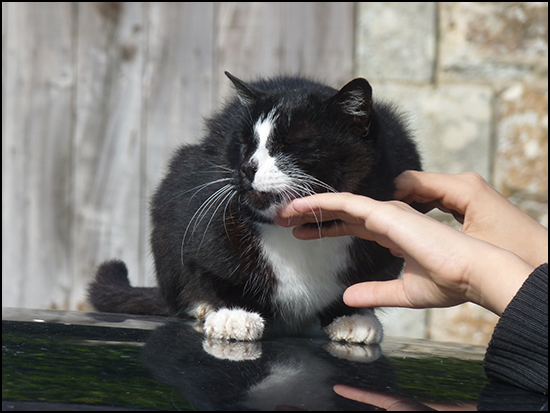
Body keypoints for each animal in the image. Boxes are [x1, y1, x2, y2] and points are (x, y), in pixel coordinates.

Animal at [88, 72, 422, 342]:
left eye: (291, 144)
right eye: (245, 143)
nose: (247, 167)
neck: (302, 233)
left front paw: (351, 317)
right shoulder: (195, 206)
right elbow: (209, 269)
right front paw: (233, 313)